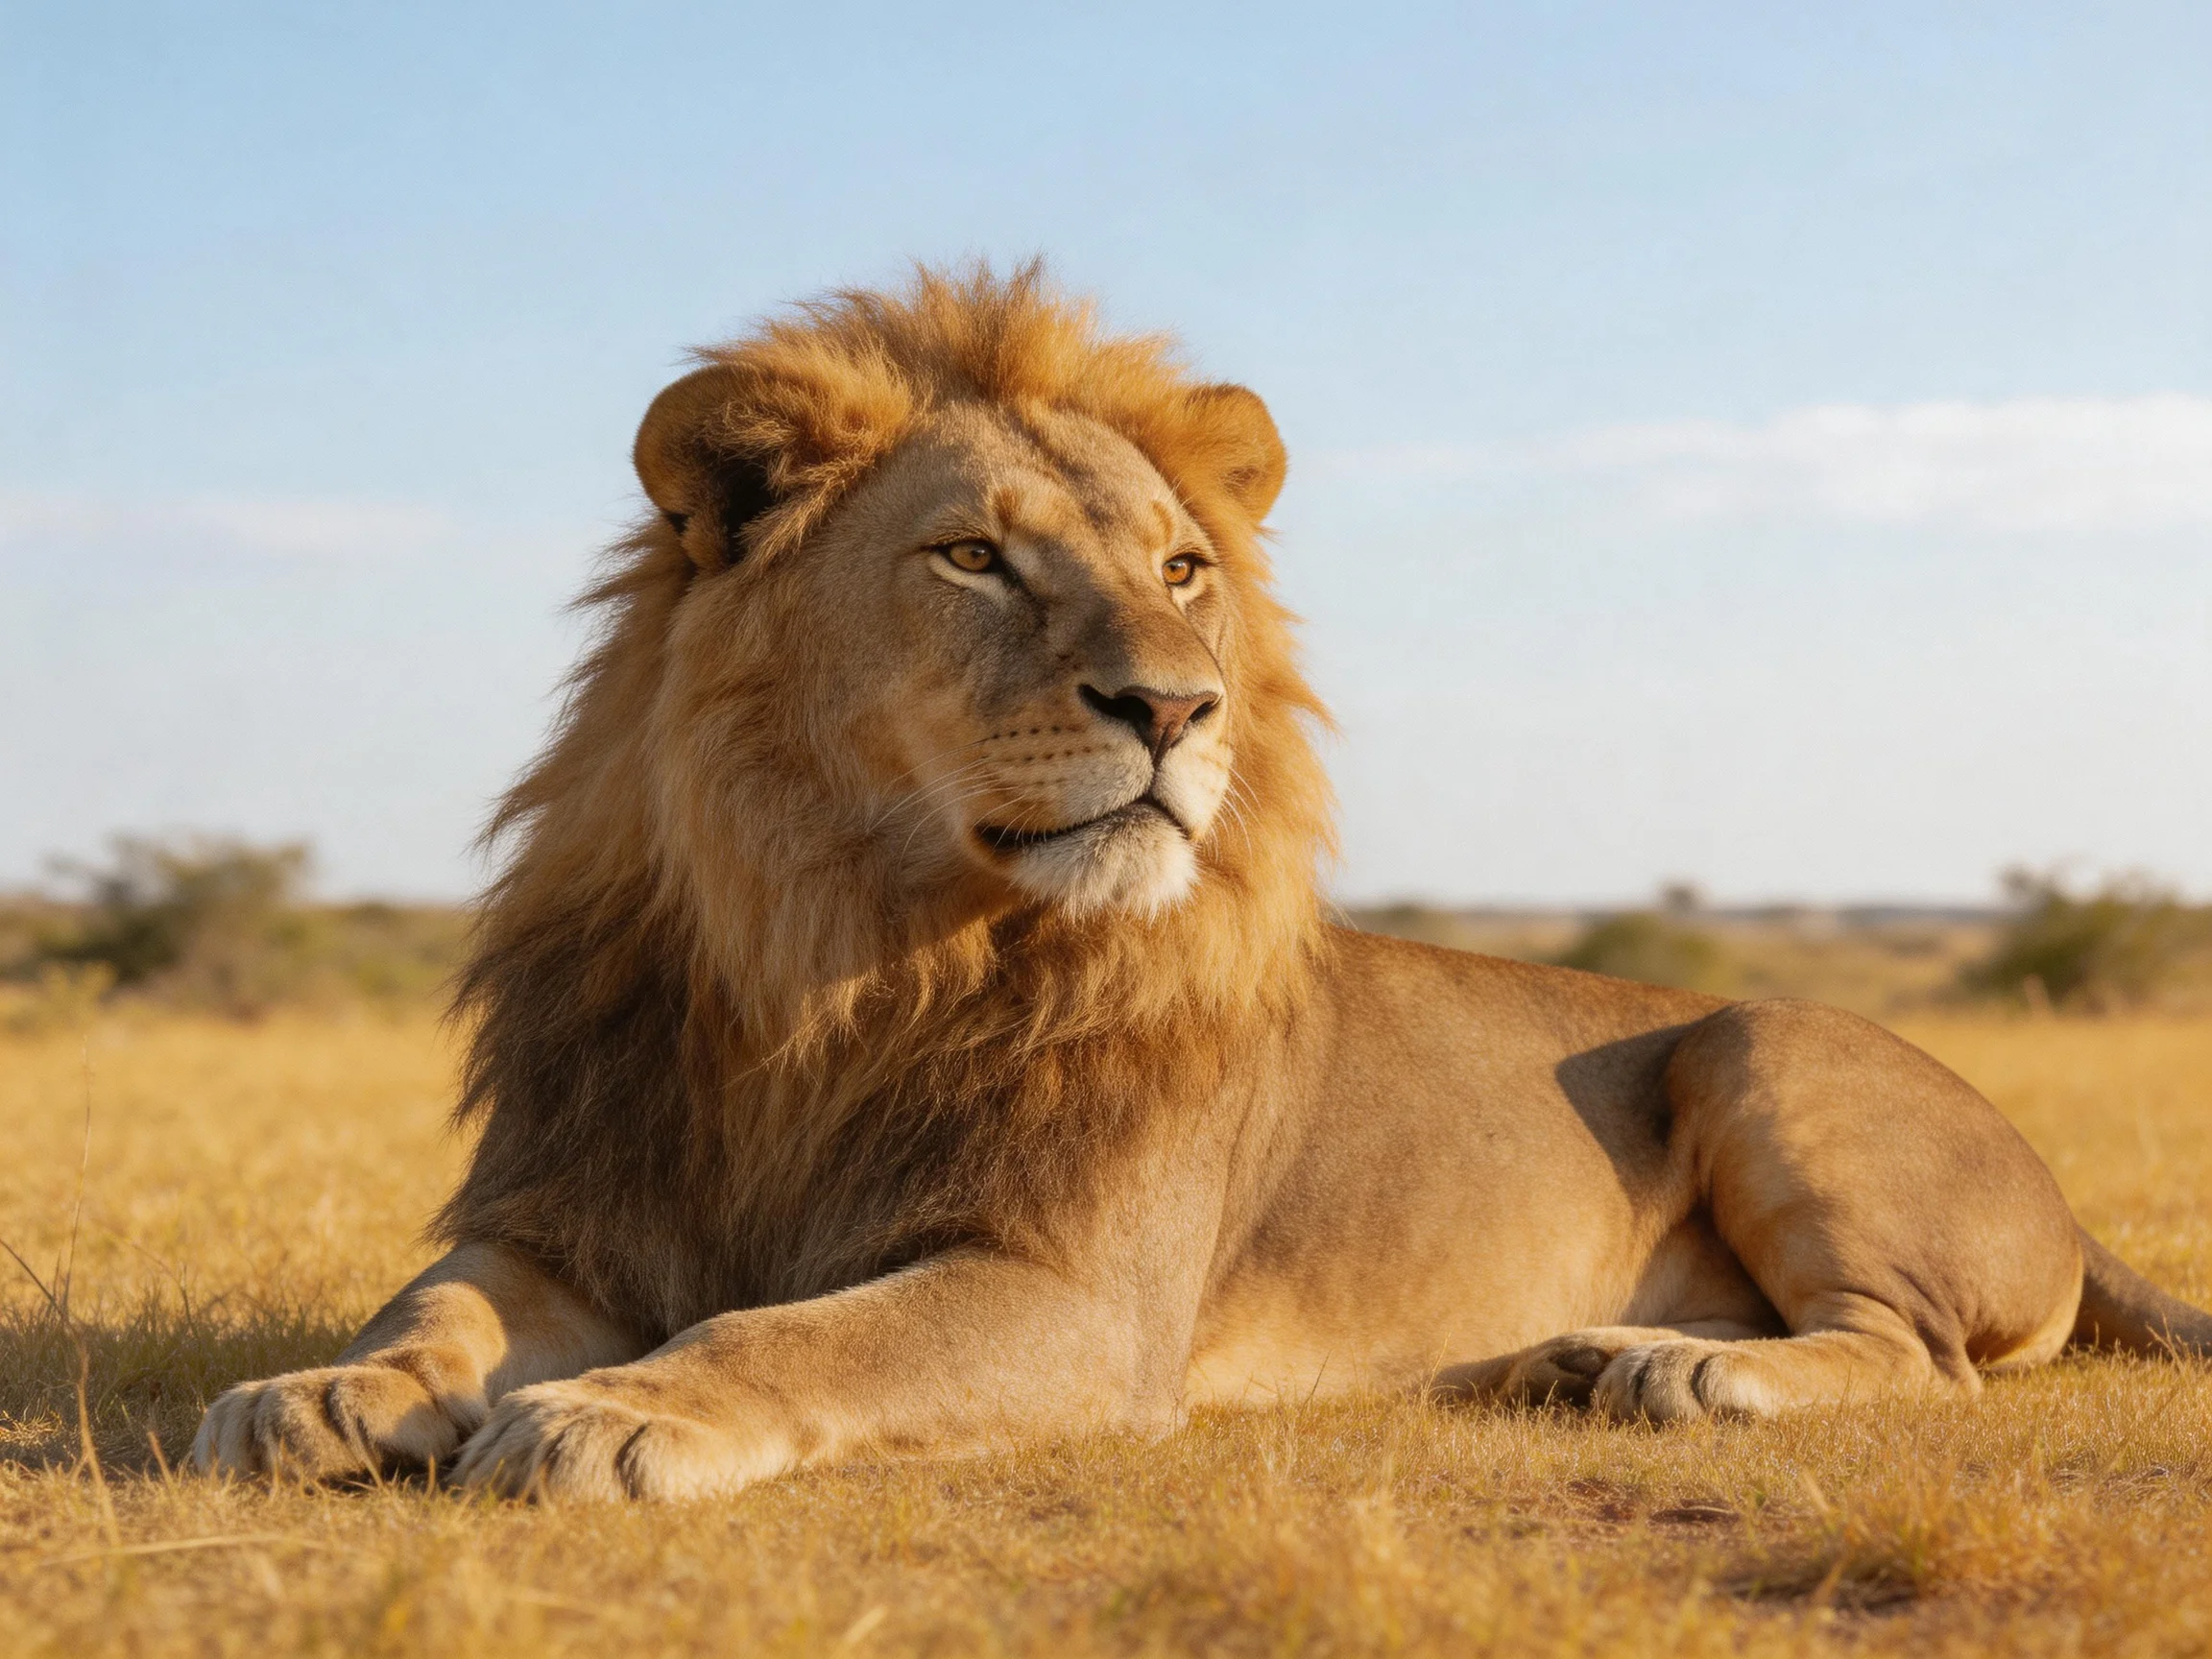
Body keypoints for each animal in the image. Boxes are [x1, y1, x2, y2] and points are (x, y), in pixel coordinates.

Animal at [194, 264, 2210, 1500]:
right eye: (974, 558)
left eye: (1178, 567)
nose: (1174, 706)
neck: (846, 950)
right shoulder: (565, 1216)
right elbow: (435, 1303)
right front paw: (316, 1389)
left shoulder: (1074, 1292)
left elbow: (790, 1327)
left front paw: (614, 1408)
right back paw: (1586, 1356)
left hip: (1761, 1040)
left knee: (1922, 1353)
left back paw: (1677, 1375)